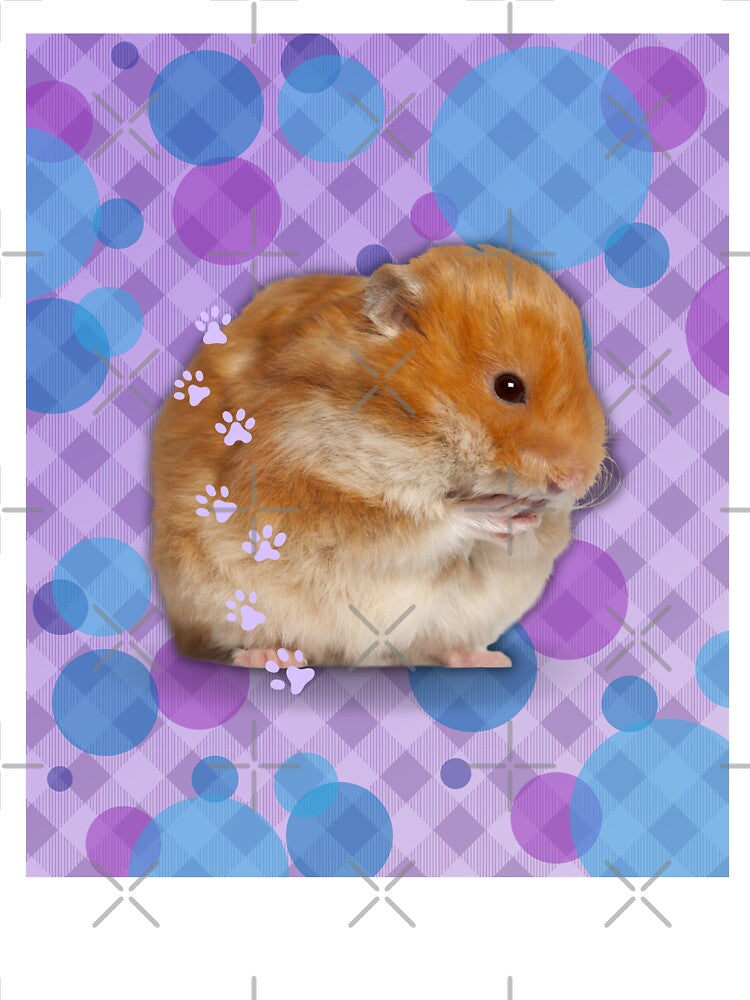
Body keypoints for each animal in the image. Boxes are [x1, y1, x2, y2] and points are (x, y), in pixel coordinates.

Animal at [151, 244, 606, 669]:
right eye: (508, 387)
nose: (575, 480)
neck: (409, 431)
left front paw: (530, 518)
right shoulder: (303, 486)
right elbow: (418, 524)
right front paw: (499, 513)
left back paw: (487, 660)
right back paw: (272, 658)